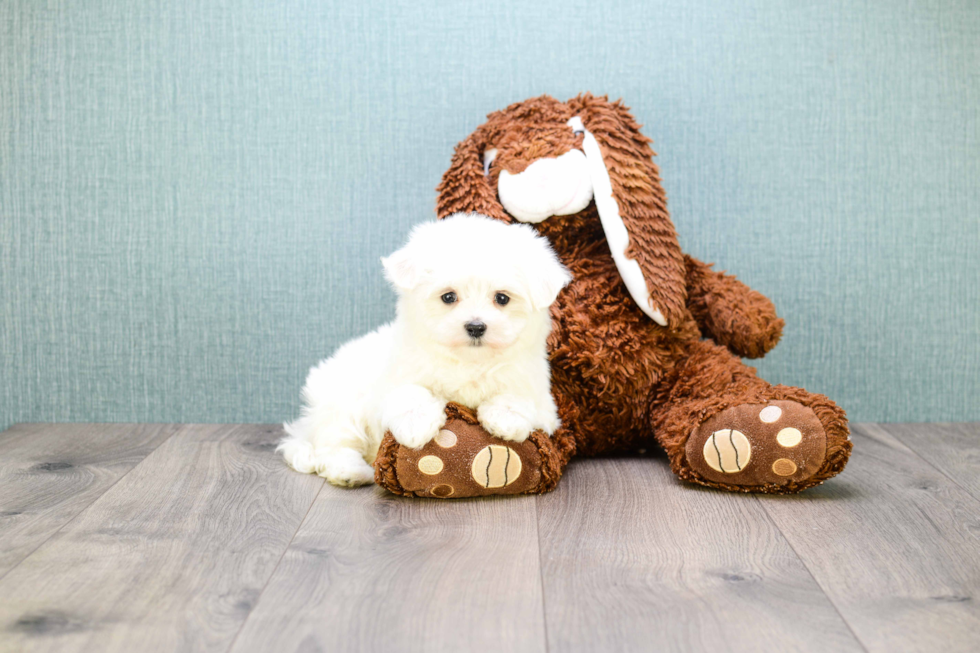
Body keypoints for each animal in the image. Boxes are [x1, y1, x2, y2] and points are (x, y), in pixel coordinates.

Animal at [278, 211, 568, 486]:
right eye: (448, 297)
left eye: (502, 298)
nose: (475, 326)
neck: (469, 362)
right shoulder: (393, 381)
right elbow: (411, 392)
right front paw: (416, 424)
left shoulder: (541, 398)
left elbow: (518, 396)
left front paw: (505, 419)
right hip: (344, 404)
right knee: (335, 445)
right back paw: (350, 472)